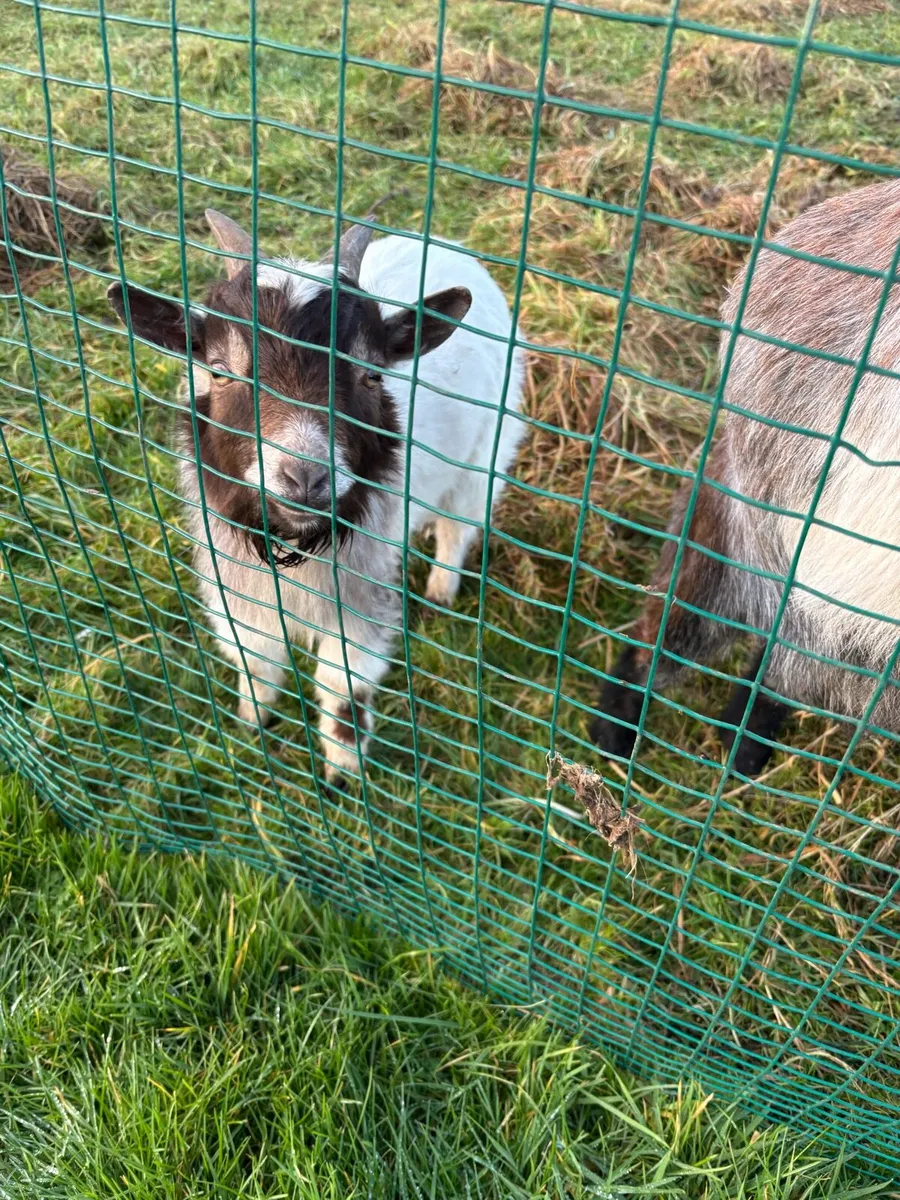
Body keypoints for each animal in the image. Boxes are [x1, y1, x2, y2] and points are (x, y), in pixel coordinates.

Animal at [108, 209, 525, 781]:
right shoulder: (238, 583)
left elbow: (344, 684)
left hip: (484, 455)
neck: (296, 548)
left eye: (371, 375)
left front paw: (343, 769)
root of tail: (445, 245)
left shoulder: (361, 594)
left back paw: (442, 590)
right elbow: (256, 657)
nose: (305, 478)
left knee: (458, 525)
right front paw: (252, 720)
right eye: (218, 371)